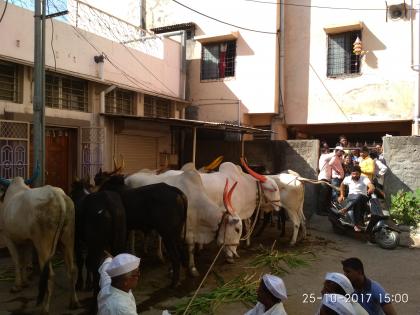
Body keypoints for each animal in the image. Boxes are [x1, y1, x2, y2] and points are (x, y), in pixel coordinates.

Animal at [0, 177, 79, 314]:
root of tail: (58, 196)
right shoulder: (27, 241)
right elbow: (24, 262)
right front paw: (25, 282)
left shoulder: (8, 237)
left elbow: (17, 261)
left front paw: (17, 285)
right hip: (68, 239)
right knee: (72, 270)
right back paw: (73, 302)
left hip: (43, 245)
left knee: (49, 275)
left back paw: (45, 308)